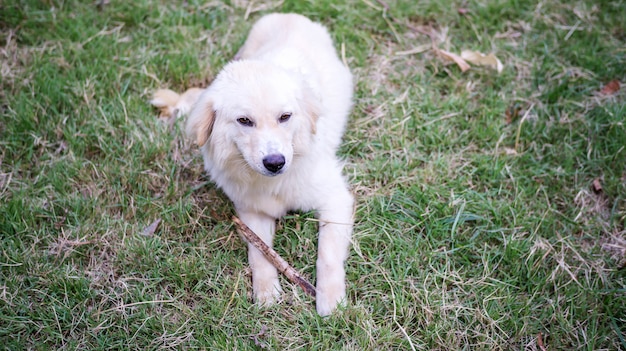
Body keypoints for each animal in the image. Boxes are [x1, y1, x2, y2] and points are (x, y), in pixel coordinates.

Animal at [150, 13, 352, 316]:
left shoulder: (336, 198)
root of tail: (288, 15)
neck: (273, 183)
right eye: (244, 121)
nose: (275, 163)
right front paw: (266, 293)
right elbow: (260, 254)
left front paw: (331, 302)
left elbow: (326, 253)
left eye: (285, 117)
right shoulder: (251, 212)